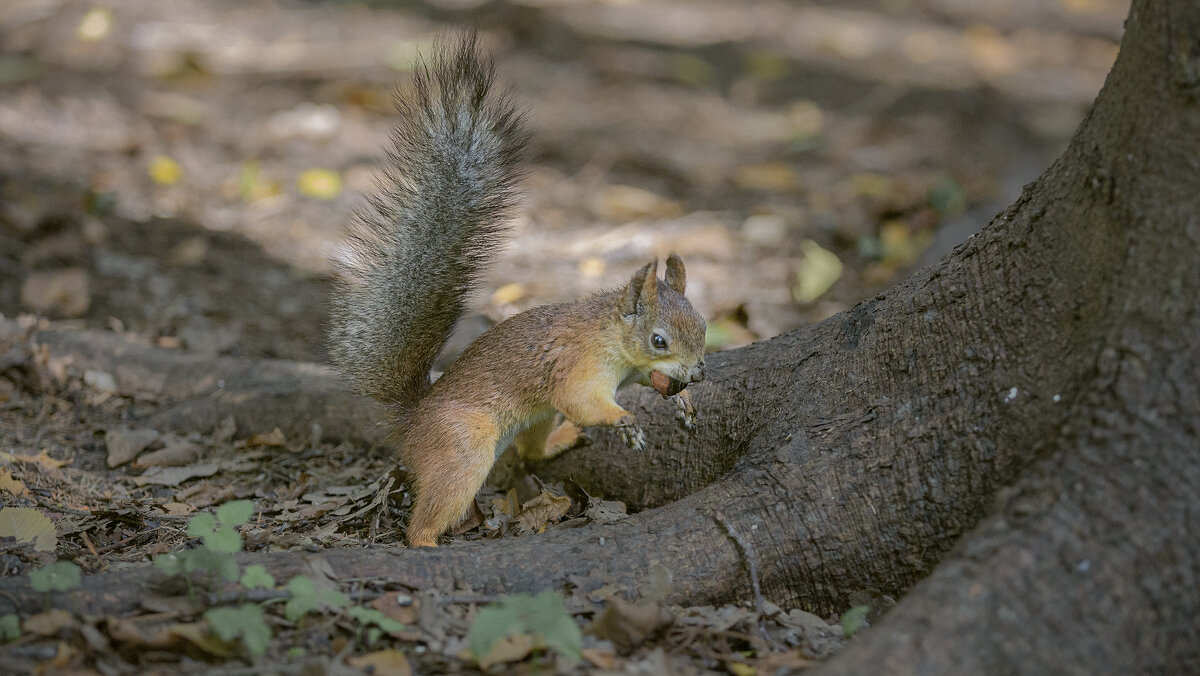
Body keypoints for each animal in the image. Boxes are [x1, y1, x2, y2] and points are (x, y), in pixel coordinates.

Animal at [324, 34, 705, 547]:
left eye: (703, 325)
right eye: (658, 340)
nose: (699, 373)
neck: (611, 337)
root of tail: (414, 422)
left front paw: (682, 400)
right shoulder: (577, 366)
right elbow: (581, 400)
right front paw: (624, 420)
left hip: (535, 418)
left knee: (532, 452)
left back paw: (563, 440)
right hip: (463, 449)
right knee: (431, 511)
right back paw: (426, 542)